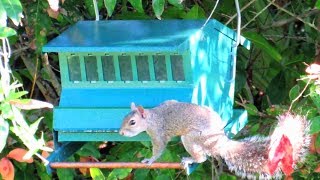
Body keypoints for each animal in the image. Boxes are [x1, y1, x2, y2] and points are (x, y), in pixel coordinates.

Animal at [119, 100, 308, 179]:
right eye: (124, 117)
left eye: (132, 122)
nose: (120, 132)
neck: (152, 117)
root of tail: (221, 142)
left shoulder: (158, 133)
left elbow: (159, 148)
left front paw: (150, 160)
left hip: (192, 137)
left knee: (201, 157)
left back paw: (190, 159)